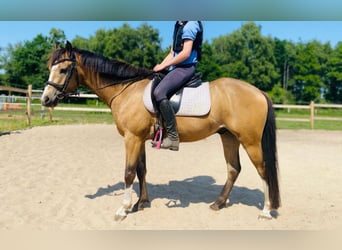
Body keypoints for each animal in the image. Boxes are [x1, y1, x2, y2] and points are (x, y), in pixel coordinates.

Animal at [40, 41, 280, 221]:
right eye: (50, 68)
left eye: (63, 69)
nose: (46, 99)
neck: (126, 90)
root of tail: (259, 92)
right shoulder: (139, 139)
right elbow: (141, 170)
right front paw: (141, 202)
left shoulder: (132, 138)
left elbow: (128, 172)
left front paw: (123, 209)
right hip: (229, 137)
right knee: (233, 169)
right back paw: (218, 203)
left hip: (250, 141)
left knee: (263, 170)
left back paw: (266, 211)